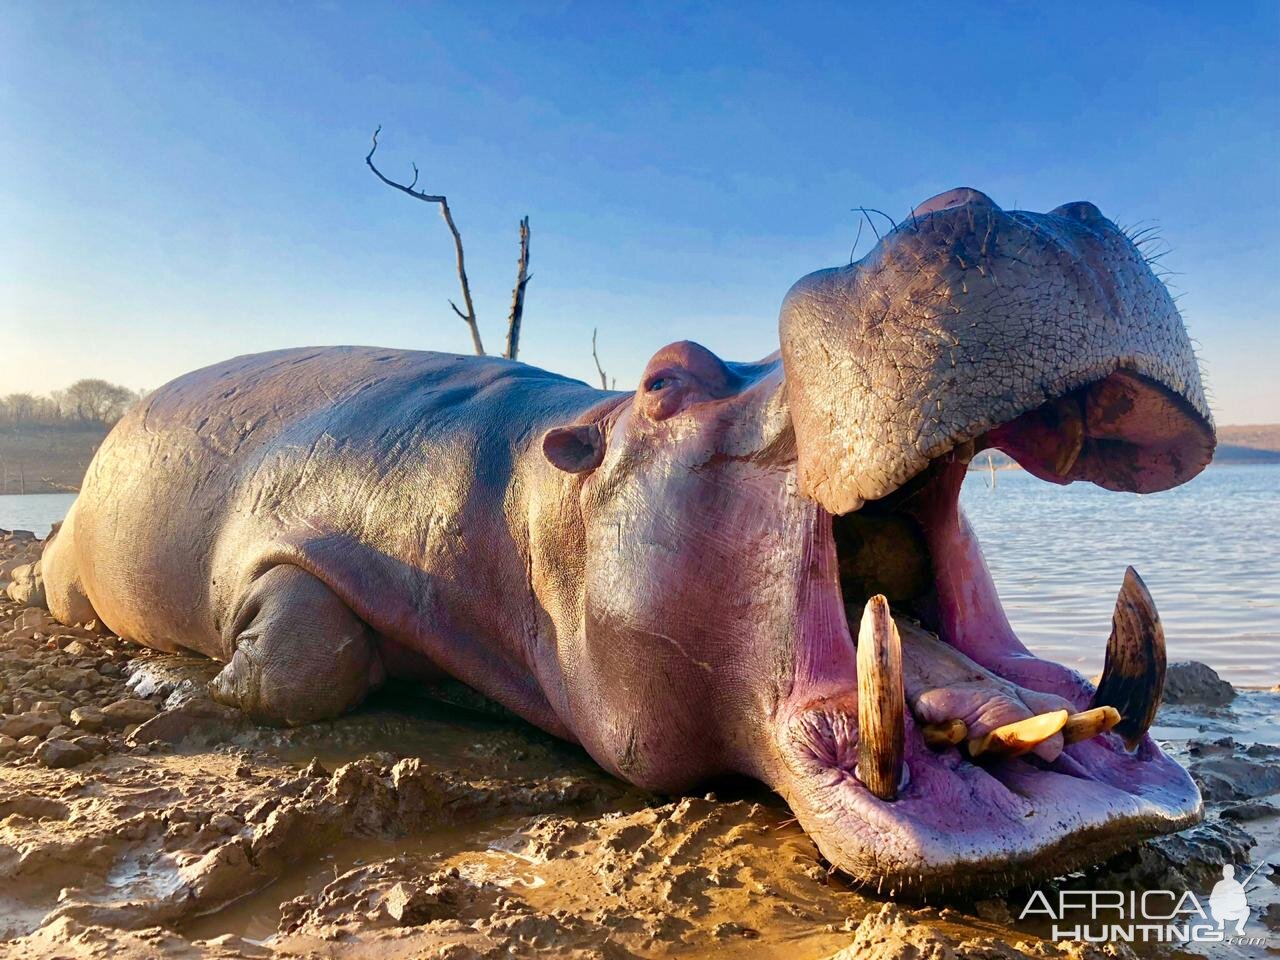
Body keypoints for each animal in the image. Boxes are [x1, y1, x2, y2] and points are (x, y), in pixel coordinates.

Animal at [40, 192, 1213, 901]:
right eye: (664, 377)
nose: (999, 209)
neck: (539, 497)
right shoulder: (305, 535)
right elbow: (302, 653)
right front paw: (181, 687)